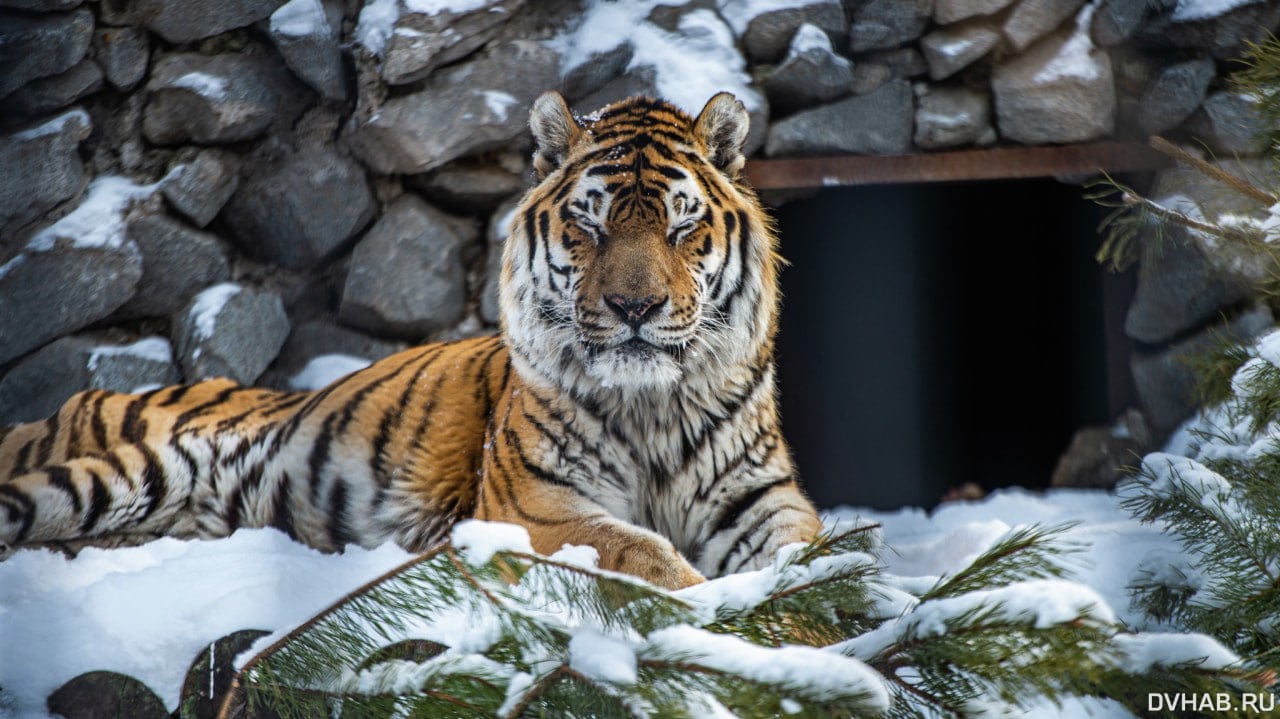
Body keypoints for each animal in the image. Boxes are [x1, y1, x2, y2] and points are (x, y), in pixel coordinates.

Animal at [0, 90, 819, 588]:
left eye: (682, 226)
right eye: (590, 225)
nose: (635, 306)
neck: (651, 404)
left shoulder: (760, 499)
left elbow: (810, 552)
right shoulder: (536, 508)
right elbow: (642, 552)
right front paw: (710, 609)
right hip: (116, 467)